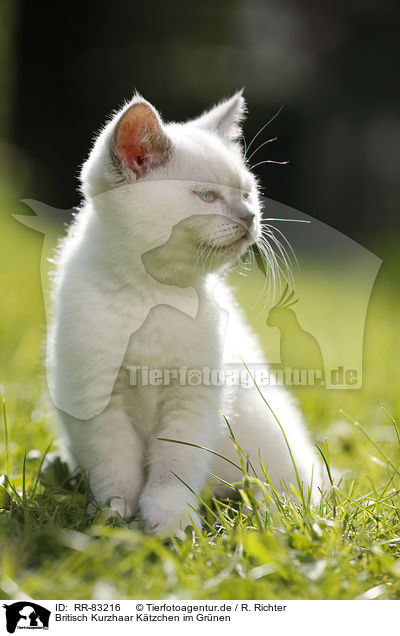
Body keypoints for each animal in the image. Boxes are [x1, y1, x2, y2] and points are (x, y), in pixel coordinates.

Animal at [47, 92, 322, 536]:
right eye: (207, 196)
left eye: (247, 194)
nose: (250, 218)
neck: (152, 297)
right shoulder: (97, 401)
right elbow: (114, 468)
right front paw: (113, 518)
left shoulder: (191, 401)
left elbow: (173, 468)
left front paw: (170, 525)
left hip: (273, 442)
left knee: (291, 489)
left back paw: (273, 513)